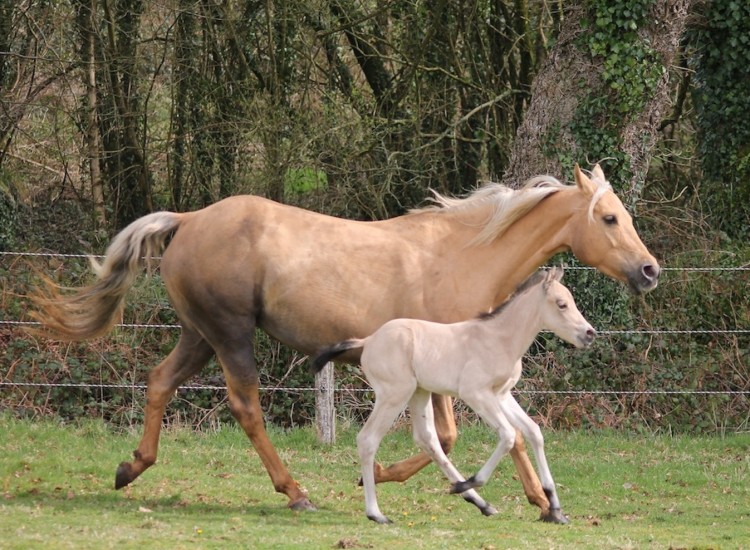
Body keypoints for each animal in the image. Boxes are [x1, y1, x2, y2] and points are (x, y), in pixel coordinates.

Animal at [311, 267, 594, 524]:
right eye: (562, 304)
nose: (589, 334)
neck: (499, 339)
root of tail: (368, 340)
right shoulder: (476, 393)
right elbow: (508, 435)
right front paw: (473, 481)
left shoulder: (502, 395)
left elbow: (534, 432)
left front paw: (555, 507)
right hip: (394, 394)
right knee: (368, 439)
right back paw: (377, 513)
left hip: (419, 392)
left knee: (428, 440)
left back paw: (480, 503)